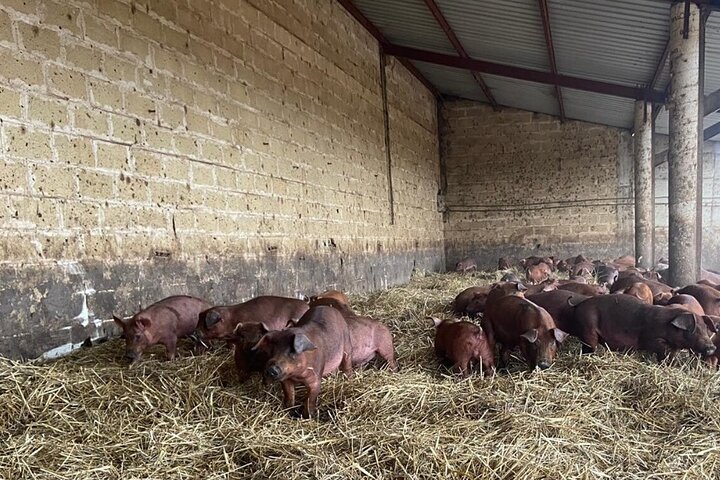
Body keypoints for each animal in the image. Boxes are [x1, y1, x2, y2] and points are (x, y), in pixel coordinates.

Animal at [567, 294, 717, 360]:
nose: (712, 348)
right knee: (588, 347)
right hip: (588, 329)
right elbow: (662, 351)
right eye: (694, 330)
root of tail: (578, 305)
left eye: (705, 329)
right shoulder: (653, 339)